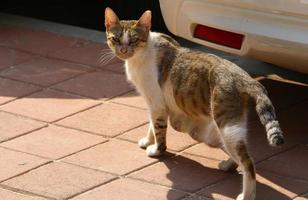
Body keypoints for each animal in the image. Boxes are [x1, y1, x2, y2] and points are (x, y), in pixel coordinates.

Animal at [104, 7, 284, 200]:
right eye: (115, 39)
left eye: (134, 40)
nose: (123, 50)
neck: (141, 55)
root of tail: (246, 77)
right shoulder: (154, 103)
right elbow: (151, 124)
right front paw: (147, 140)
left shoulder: (157, 103)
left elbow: (159, 129)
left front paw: (157, 150)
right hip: (229, 127)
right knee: (240, 154)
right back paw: (228, 165)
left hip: (226, 125)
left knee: (248, 162)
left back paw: (247, 195)